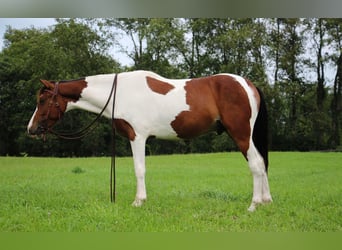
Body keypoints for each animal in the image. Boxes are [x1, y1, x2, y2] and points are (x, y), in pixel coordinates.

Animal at [26, 70, 272, 211]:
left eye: (42, 100)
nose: (31, 129)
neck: (120, 93)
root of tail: (247, 84)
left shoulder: (138, 137)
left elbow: (139, 169)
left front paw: (139, 201)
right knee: (261, 164)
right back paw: (266, 201)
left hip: (241, 134)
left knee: (256, 165)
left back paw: (253, 205)